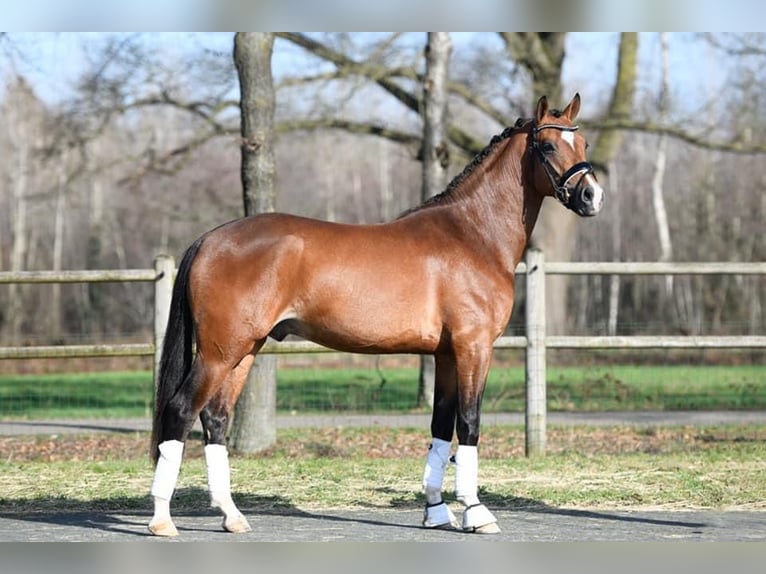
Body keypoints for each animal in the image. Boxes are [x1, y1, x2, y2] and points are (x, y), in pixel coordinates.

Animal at [148, 92, 608, 536]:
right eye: (547, 145)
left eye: (583, 143)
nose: (592, 197)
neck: (473, 234)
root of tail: (210, 239)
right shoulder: (473, 347)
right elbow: (469, 423)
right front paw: (476, 513)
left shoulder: (445, 354)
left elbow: (440, 427)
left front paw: (436, 512)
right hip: (219, 353)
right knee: (180, 411)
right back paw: (162, 520)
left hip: (244, 350)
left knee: (215, 418)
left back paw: (232, 516)